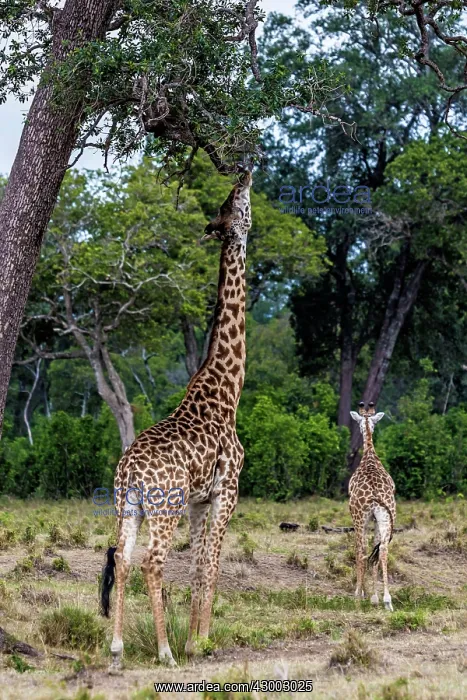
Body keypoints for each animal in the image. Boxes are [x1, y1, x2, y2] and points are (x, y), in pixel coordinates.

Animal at [100, 168, 253, 672]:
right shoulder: (228, 491)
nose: (245, 172)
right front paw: (199, 642)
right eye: (236, 203)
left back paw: (117, 647)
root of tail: (129, 469)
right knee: (151, 561)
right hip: (162, 507)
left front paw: (194, 637)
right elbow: (211, 564)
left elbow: (200, 564)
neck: (227, 390)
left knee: (122, 559)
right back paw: (163, 651)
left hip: (128, 505)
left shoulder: (199, 501)